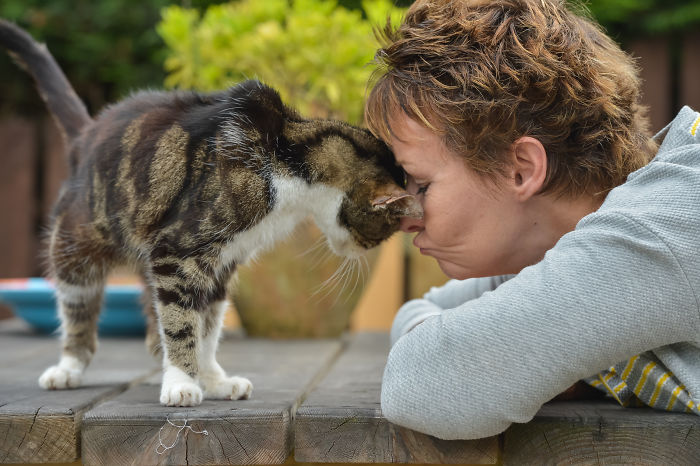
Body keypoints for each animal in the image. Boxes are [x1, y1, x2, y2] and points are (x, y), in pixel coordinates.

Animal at [0, 19, 418, 404]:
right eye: (381, 232)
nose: (361, 251)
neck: (288, 156)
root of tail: (86, 135)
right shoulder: (178, 253)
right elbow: (183, 323)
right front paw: (183, 383)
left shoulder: (222, 264)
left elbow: (208, 328)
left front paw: (213, 379)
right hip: (75, 248)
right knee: (79, 311)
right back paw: (67, 368)